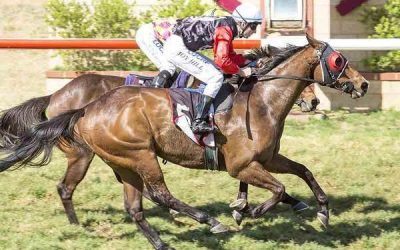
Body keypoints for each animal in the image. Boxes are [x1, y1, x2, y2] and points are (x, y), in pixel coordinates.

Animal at [0, 36, 368, 249]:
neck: (261, 100)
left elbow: (303, 172)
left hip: (123, 161)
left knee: (135, 207)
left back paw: (162, 242)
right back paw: (209, 221)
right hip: (129, 155)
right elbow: (276, 189)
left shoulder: (267, 159)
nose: (363, 84)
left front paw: (320, 211)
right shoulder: (241, 166)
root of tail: (80, 107)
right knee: (152, 194)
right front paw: (247, 211)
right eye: (338, 60)